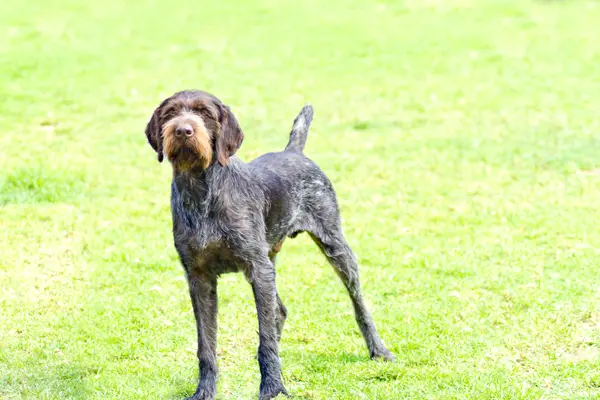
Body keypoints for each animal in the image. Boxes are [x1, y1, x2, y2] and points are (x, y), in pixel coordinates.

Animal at [144, 90, 394, 400]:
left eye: (205, 113)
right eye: (170, 113)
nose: (182, 130)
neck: (201, 190)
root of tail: (294, 152)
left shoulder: (257, 269)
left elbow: (265, 339)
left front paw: (273, 387)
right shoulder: (199, 277)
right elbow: (206, 345)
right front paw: (204, 390)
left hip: (334, 246)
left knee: (358, 303)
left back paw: (378, 349)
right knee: (280, 310)